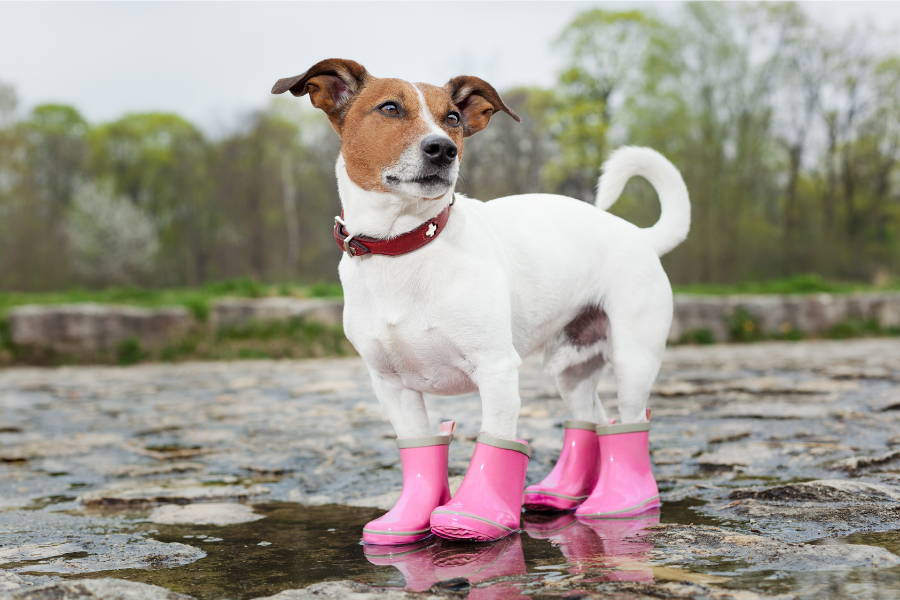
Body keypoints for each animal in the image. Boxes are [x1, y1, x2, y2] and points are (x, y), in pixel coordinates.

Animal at [272, 59, 688, 544]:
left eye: (452, 117)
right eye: (390, 108)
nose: (443, 149)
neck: (407, 246)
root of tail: (640, 236)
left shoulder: (496, 369)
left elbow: (498, 441)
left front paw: (476, 516)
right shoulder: (391, 385)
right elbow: (419, 448)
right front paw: (407, 521)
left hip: (633, 357)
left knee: (629, 421)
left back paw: (623, 502)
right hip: (570, 364)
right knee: (590, 418)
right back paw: (563, 493)